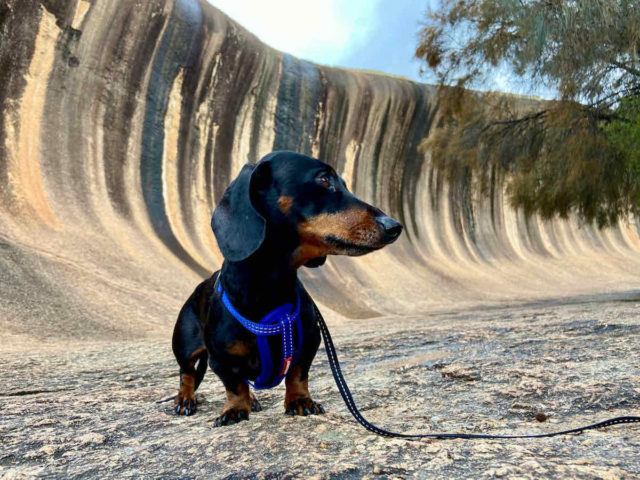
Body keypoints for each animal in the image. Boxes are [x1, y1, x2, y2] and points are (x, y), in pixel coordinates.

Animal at [170, 152, 400, 426]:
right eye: (324, 179)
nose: (394, 226)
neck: (270, 286)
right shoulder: (220, 359)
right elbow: (234, 385)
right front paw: (234, 409)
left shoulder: (309, 342)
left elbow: (298, 374)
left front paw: (300, 400)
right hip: (184, 345)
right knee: (186, 373)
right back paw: (185, 399)